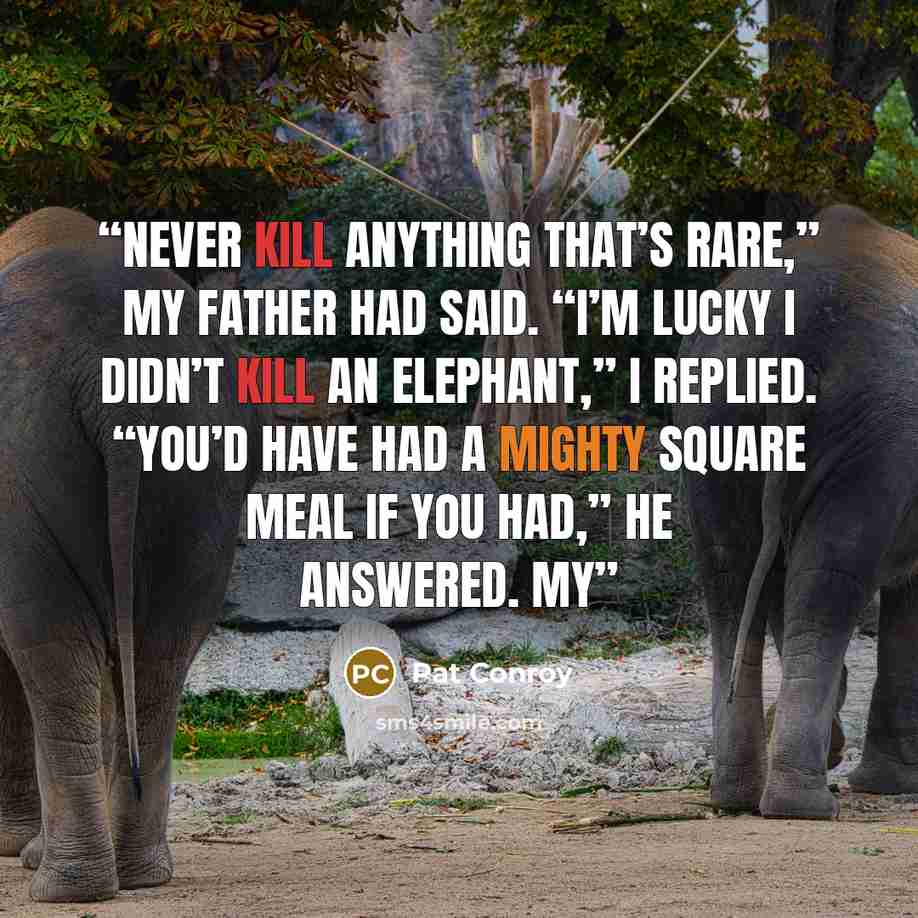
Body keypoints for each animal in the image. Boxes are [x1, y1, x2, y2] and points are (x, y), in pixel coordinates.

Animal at [0, 208, 260, 900]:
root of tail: (105, 367)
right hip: (202, 465)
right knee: (160, 649)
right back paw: (138, 874)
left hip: (18, 466)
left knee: (51, 646)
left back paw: (66, 886)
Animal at [679, 203, 918, 819]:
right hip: (871, 429)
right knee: (827, 581)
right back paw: (803, 805)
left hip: (713, 413)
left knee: (731, 580)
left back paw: (738, 796)